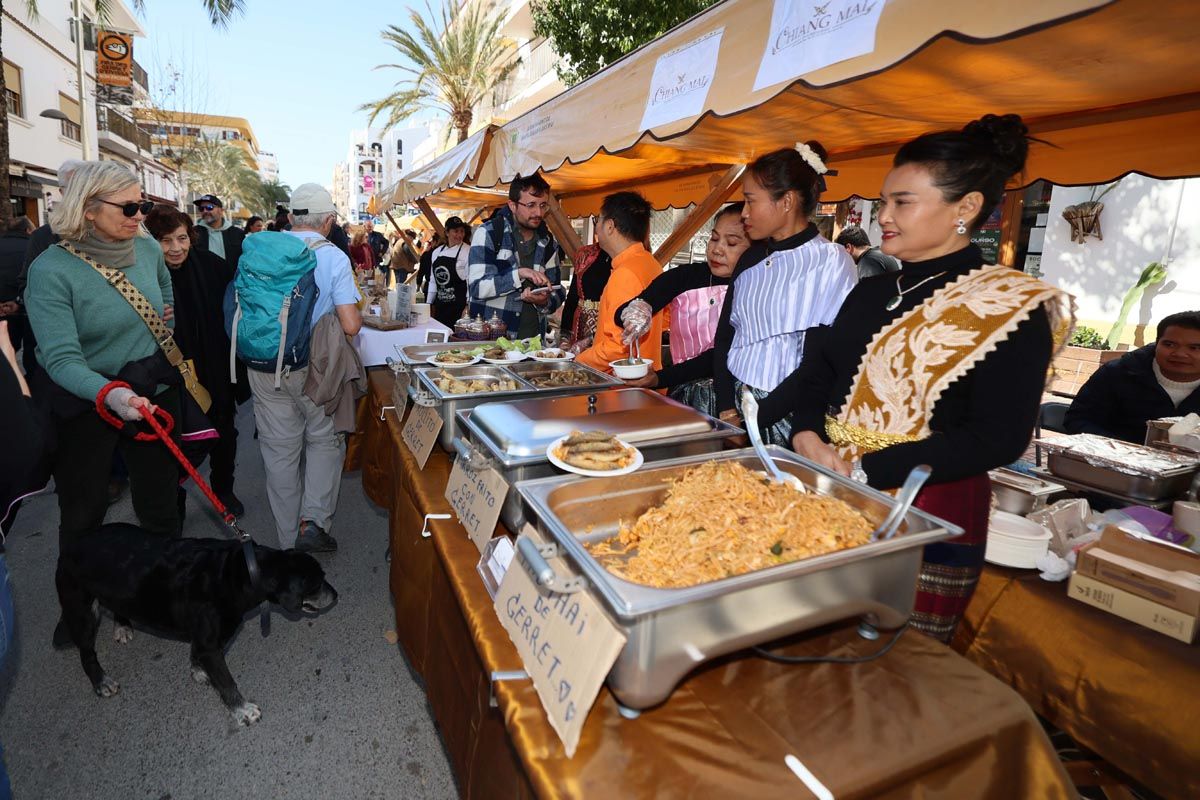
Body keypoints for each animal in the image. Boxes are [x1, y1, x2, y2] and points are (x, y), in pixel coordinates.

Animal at [55, 522, 338, 729]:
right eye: (318, 583)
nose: (336, 596)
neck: (242, 571)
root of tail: (70, 545)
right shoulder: (211, 645)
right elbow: (226, 681)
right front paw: (242, 710)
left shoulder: (206, 640)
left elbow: (197, 653)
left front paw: (198, 669)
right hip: (81, 611)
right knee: (87, 654)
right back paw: (100, 681)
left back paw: (122, 624)